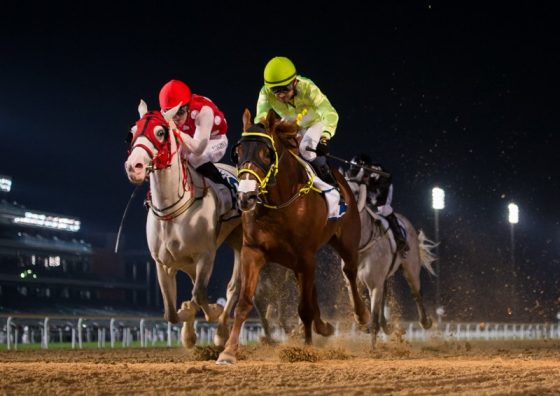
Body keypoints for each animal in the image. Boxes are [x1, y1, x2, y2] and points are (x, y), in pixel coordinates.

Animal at [124, 100, 241, 348]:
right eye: (131, 133)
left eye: (160, 132)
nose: (134, 166)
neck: (172, 211)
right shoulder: (162, 263)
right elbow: (170, 312)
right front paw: (187, 327)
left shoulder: (206, 255)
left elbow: (199, 294)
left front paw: (211, 312)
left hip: (241, 241)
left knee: (233, 288)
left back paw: (221, 332)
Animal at [217, 110, 370, 364]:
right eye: (237, 153)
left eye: (266, 153)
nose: (246, 197)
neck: (280, 204)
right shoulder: (253, 251)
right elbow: (244, 302)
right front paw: (228, 351)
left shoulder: (305, 255)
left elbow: (304, 308)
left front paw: (306, 349)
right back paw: (323, 326)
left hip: (346, 240)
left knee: (349, 271)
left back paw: (362, 316)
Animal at [350, 181, 438, 348]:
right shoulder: (358, 281)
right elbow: (357, 302)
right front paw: (363, 325)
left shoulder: (375, 283)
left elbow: (373, 314)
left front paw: (373, 348)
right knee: (384, 295)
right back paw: (386, 326)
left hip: (411, 269)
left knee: (416, 294)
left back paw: (425, 322)